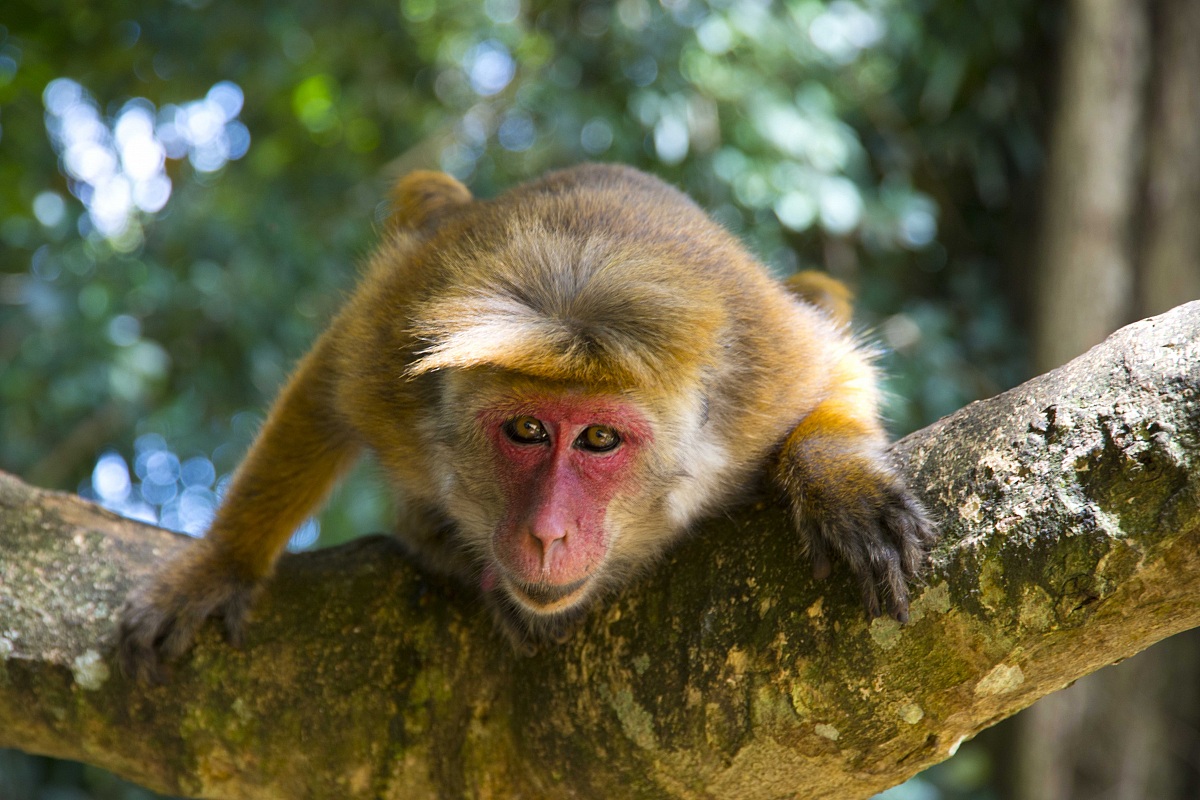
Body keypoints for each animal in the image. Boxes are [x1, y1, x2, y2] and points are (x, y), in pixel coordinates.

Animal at [118, 163, 935, 677]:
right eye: (528, 432)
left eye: (599, 440)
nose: (548, 533)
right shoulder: (393, 350)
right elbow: (325, 386)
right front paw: (221, 563)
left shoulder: (761, 380)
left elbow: (837, 368)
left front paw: (838, 478)